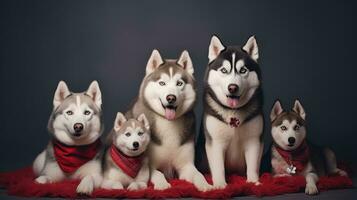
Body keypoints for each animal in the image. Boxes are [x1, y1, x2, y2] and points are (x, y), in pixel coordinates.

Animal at [125, 49, 210, 191]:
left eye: (179, 83)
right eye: (162, 83)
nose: (171, 98)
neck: (169, 123)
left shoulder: (186, 166)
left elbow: (199, 174)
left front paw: (205, 185)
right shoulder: (149, 167)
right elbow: (158, 173)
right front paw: (162, 185)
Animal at [193, 35, 262, 188]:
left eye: (243, 70)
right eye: (224, 70)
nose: (233, 87)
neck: (233, 112)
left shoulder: (253, 141)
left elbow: (252, 165)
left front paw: (253, 182)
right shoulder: (215, 143)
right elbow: (219, 166)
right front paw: (220, 184)